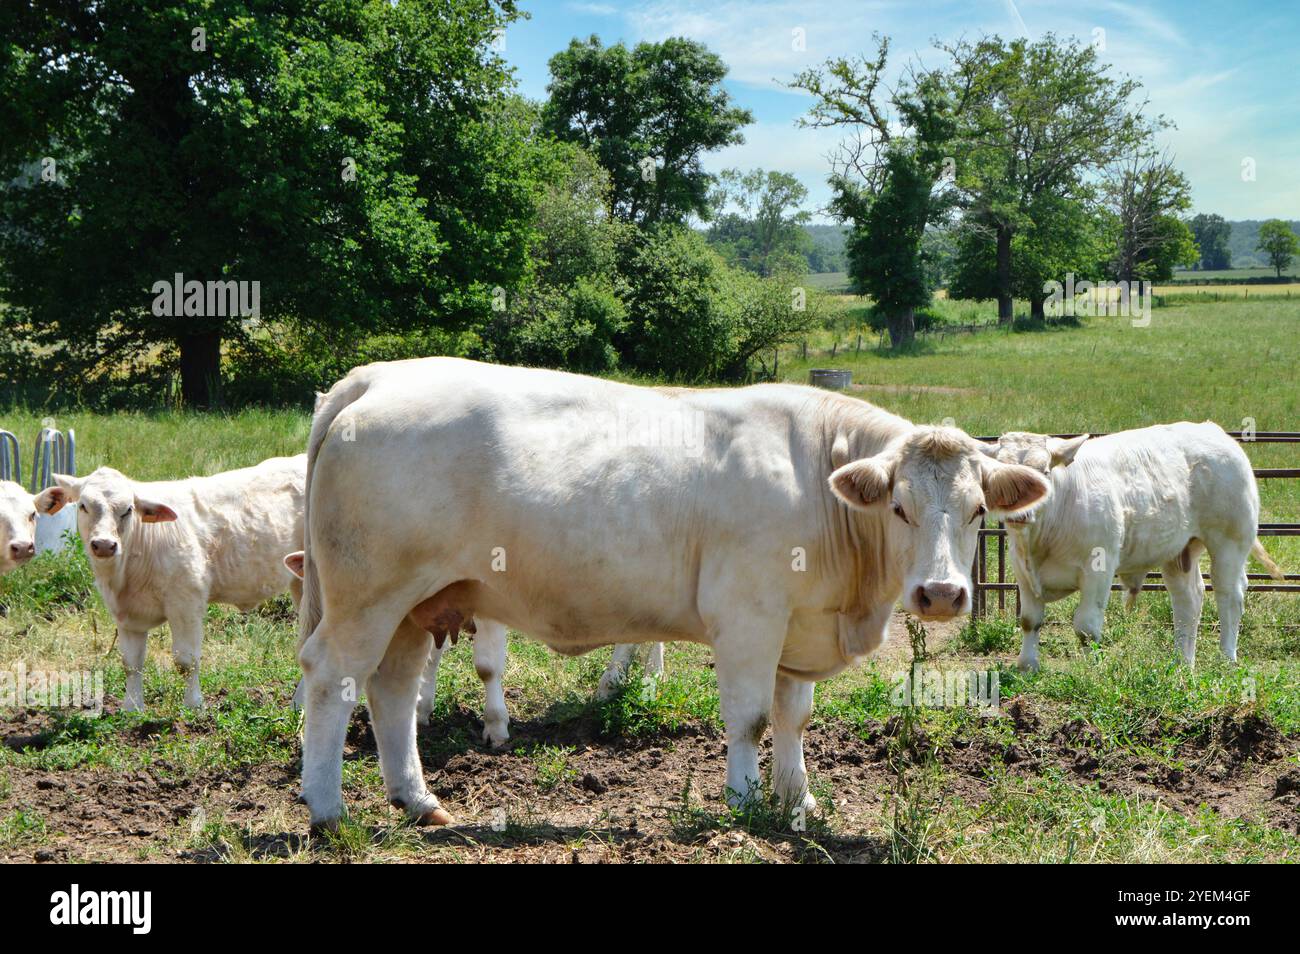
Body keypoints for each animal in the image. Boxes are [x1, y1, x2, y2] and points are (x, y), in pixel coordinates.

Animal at [36, 454, 305, 712]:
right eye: (83, 506)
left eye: (128, 510)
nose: (103, 544)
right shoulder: (125, 614)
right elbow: (131, 663)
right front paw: (132, 708)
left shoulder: (186, 602)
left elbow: (186, 660)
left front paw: (194, 706)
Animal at [987, 426, 1284, 670]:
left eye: (1044, 472)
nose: (1018, 511)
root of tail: (1215, 431)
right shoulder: (1022, 571)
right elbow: (1029, 620)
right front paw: (1027, 666)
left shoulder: (1098, 568)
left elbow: (1086, 627)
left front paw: (1089, 671)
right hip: (1179, 552)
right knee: (1188, 600)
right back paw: (1181, 663)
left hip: (1229, 542)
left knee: (1229, 595)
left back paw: (1226, 659)